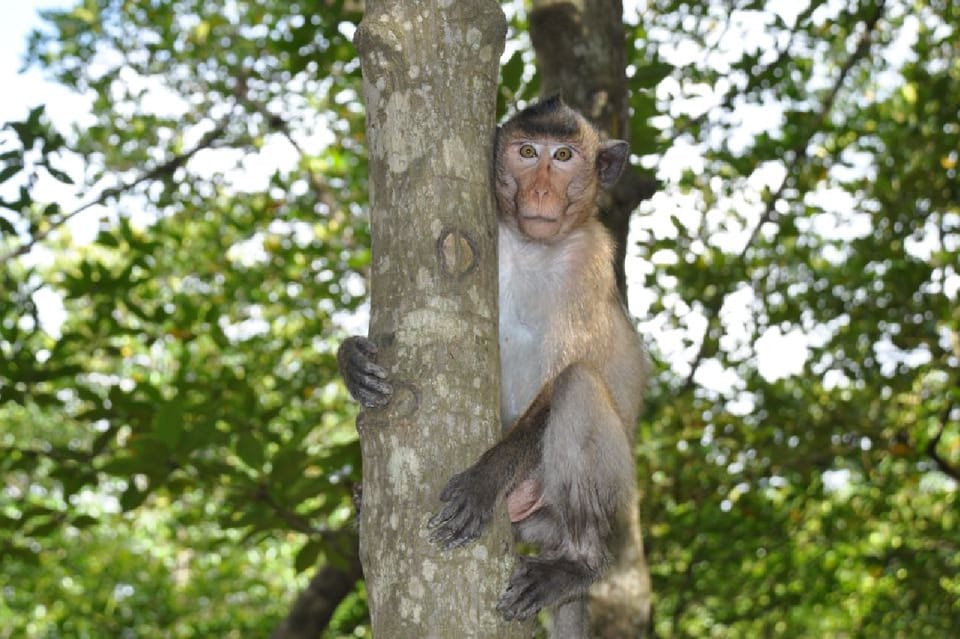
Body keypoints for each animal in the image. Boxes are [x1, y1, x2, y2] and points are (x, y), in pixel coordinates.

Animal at [338, 97, 644, 636]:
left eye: (563, 156)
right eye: (527, 152)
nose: (541, 190)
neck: (531, 246)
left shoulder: (589, 258)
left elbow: (566, 372)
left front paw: (485, 477)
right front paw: (352, 361)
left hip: (574, 486)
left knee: (579, 386)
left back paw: (579, 564)